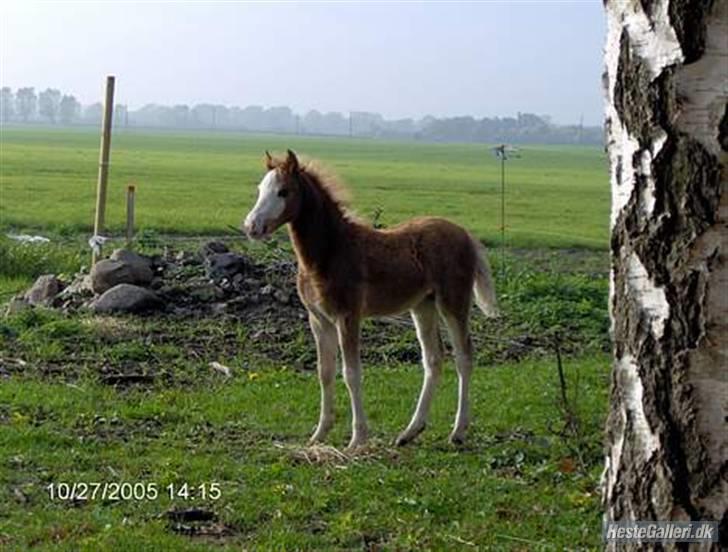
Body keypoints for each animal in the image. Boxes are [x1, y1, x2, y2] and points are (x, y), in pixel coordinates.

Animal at [242, 150, 498, 448]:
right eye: (260, 189)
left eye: (283, 191)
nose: (251, 226)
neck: (330, 252)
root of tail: (466, 235)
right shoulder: (318, 320)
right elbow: (324, 372)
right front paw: (319, 434)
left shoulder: (347, 316)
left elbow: (351, 373)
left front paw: (358, 438)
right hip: (423, 306)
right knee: (433, 359)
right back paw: (410, 432)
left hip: (453, 302)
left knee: (464, 356)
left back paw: (458, 431)